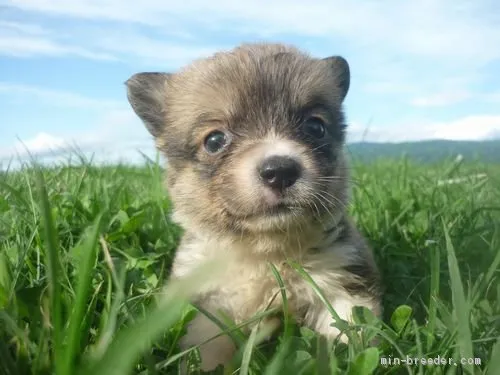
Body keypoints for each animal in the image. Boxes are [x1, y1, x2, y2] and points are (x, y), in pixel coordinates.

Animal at [126, 42, 382, 372]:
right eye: (215, 140)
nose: (280, 171)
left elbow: (349, 333)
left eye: (315, 127)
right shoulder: (209, 304)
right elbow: (207, 349)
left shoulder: (342, 285)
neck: (266, 253)